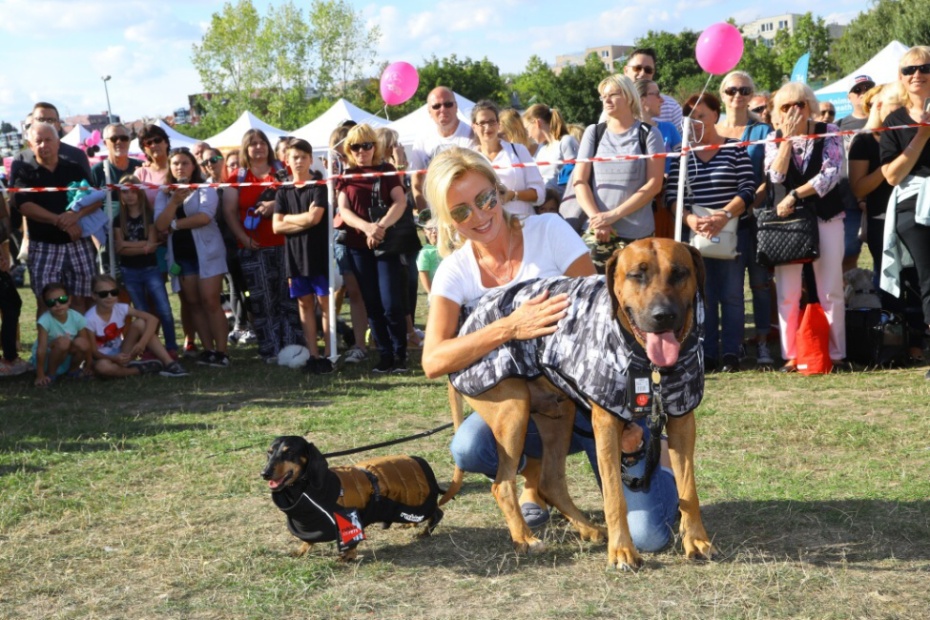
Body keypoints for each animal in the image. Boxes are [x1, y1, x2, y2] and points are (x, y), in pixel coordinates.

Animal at [262, 436, 445, 560]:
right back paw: (411, 524)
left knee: (438, 513)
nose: (264, 473)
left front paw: (348, 556)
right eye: (269, 453)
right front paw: (301, 550)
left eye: (289, 452)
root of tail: (420, 461)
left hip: (418, 504)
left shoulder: (350, 520)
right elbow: (309, 540)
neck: (305, 491)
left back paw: (425, 532)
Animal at [440, 238, 715, 570]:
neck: (651, 367)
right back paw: (525, 538)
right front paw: (621, 551)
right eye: (637, 275)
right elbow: (614, 496)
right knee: (502, 483)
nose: (663, 315)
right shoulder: (606, 424)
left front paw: (696, 540)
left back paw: (587, 528)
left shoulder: (682, 419)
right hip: (512, 410)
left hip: (559, 414)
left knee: (550, 480)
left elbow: (689, 489)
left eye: (679, 273)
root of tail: (469, 316)